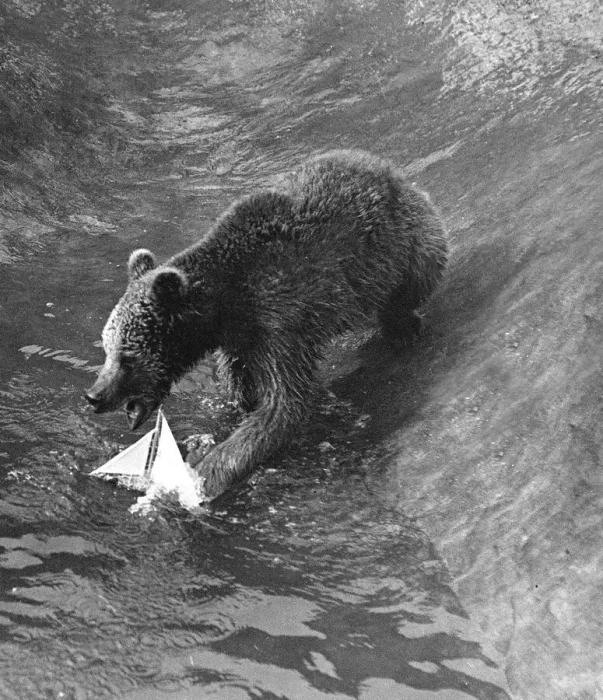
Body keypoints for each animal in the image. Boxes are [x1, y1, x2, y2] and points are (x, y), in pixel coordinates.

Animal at [85, 150, 447, 499]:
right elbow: (242, 387)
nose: (94, 395)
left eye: (128, 355)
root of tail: (383, 166)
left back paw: (402, 324)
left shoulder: (279, 320)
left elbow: (282, 405)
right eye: (107, 348)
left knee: (417, 274)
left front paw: (201, 476)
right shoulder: (239, 341)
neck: (225, 306)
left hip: (400, 240)